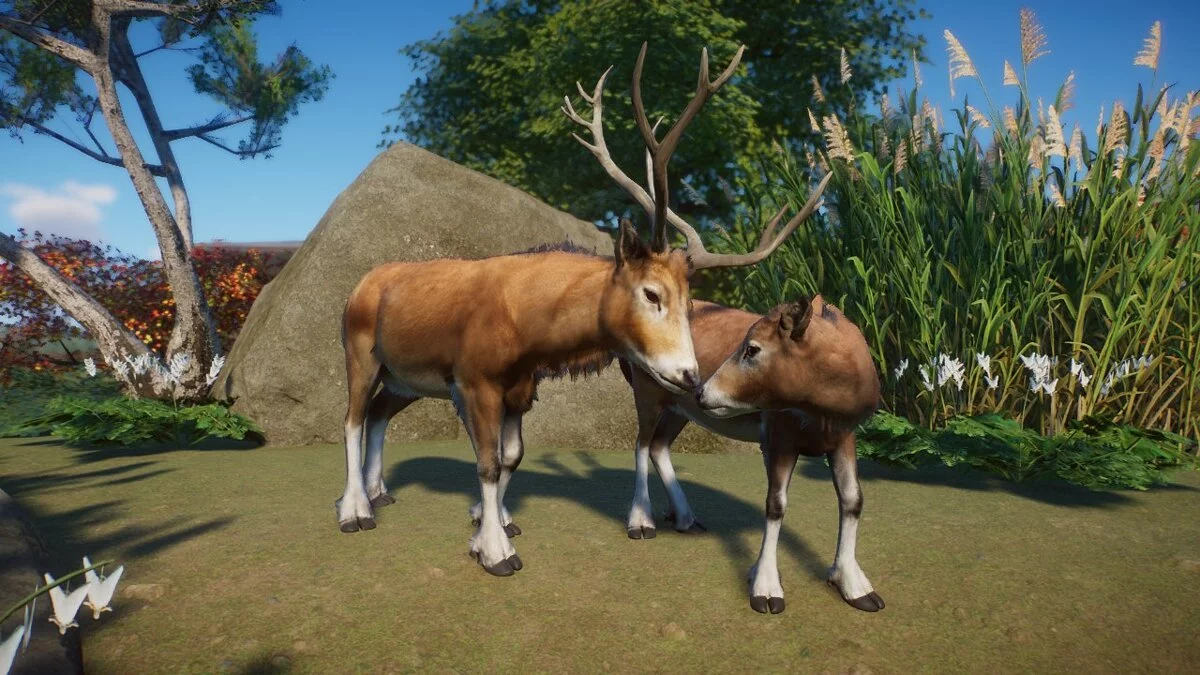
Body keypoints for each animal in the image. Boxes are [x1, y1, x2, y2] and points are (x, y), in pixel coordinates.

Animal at [336, 42, 823, 578]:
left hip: (407, 378)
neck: (527, 329)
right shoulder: (474, 381)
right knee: (352, 418)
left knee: (379, 412)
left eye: (690, 300)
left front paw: (495, 525)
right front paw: (495, 552)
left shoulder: (518, 389)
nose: (690, 375)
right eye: (651, 293)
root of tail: (359, 288)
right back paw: (354, 511)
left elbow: (512, 456)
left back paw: (380, 493)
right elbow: (487, 462)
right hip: (360, 353)